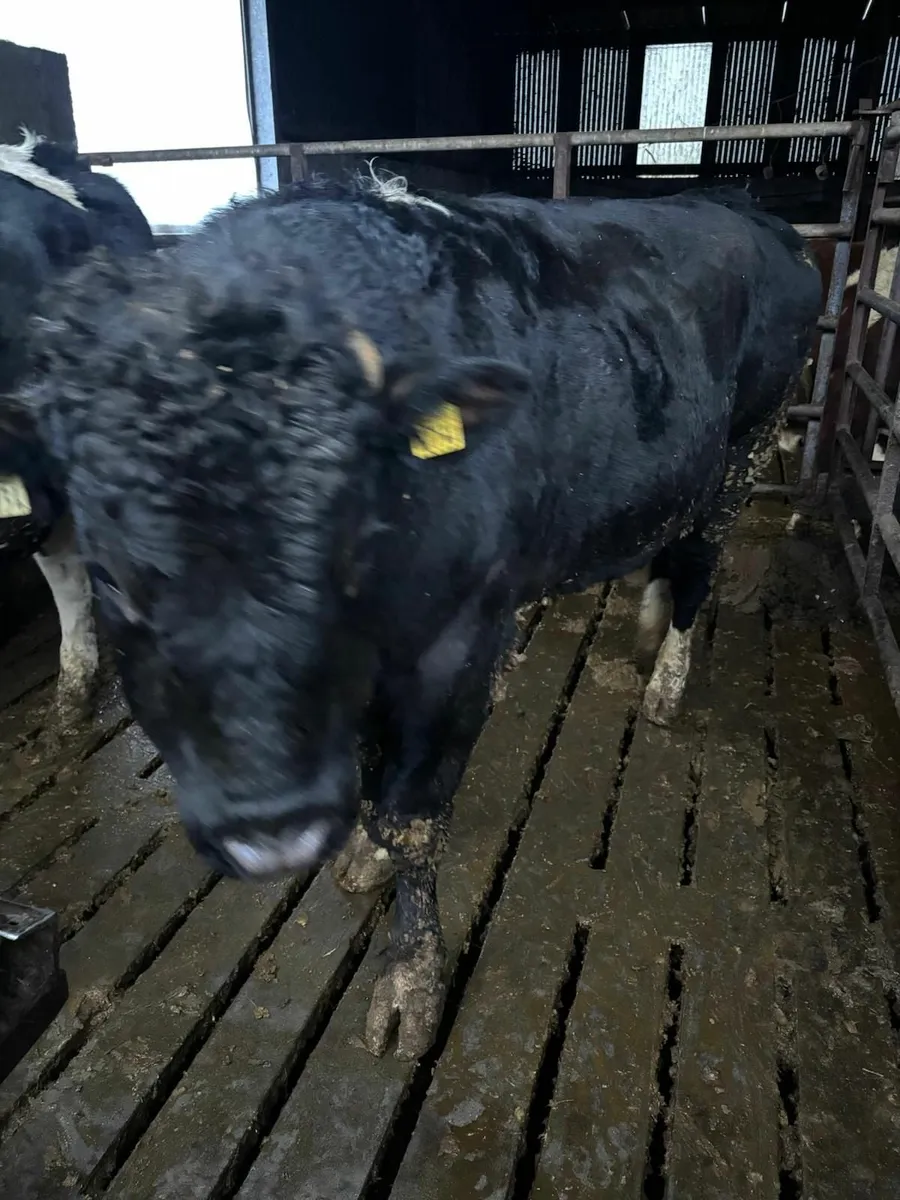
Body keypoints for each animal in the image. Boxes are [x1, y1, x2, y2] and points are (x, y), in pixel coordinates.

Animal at [7, 173, 821, 1059]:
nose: (272, 831)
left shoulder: (449, 646)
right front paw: (364, 852)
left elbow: (412, 817)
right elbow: (374, 790)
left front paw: (410, 977)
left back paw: (666, 684)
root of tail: (741, 205)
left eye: (348, 538)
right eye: (111, 575)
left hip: (744, 453)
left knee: (698, 569)